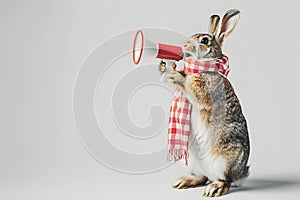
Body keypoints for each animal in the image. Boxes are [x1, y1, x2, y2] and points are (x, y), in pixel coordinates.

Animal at [159, 9, 251, 197]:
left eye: (204, 41)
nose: (184, 46)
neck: (202, 67)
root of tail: (240, 175)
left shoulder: (202, 91)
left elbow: (189, 87)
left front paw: (175, 75)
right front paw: (164, 68)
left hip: (225, 160)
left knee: (226, 180)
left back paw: (214, 189)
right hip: (191, 160)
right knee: (201, 177)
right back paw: (183, 182)